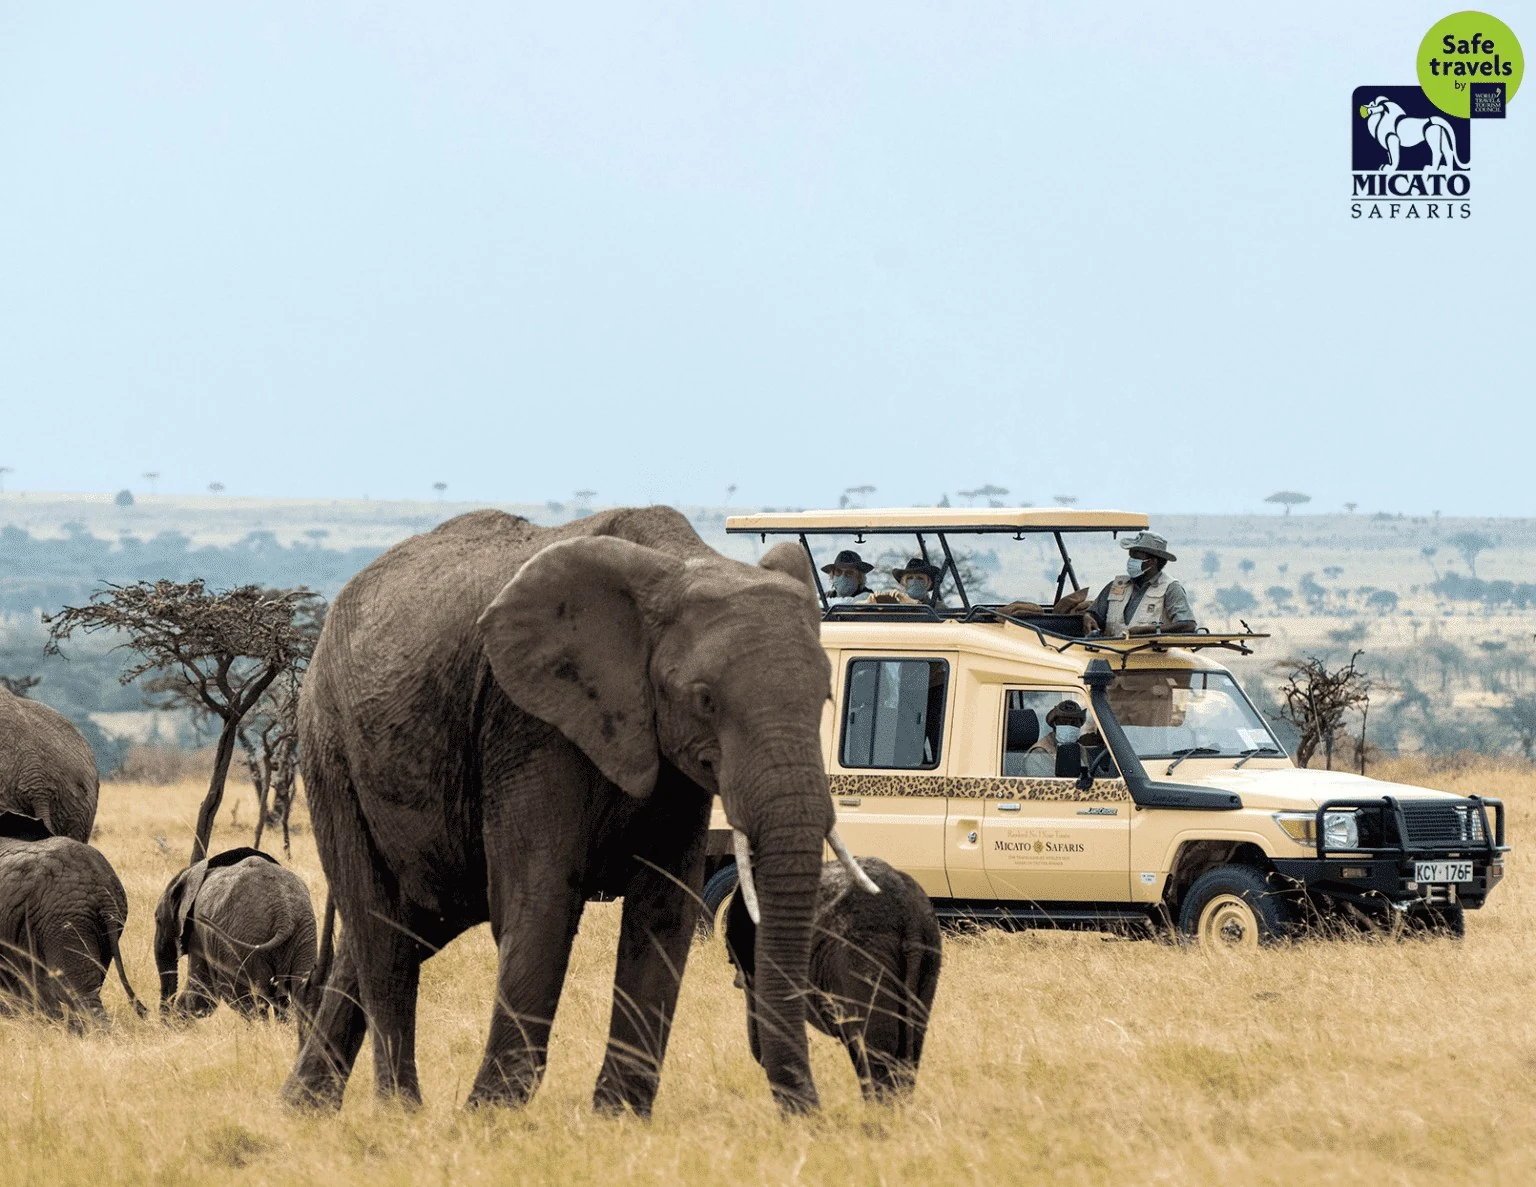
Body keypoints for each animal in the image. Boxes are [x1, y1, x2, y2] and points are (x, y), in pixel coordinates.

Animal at [154, 847, 317, 1020]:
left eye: (157, 920)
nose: (164, 1019)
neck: (190, 873)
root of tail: (284, 914)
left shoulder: (197, 932)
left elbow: (201, 992)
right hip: (304, 932)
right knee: (298, 992)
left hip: (245, 938)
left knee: (246, 996)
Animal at [283, 506, 872, 1115]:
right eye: (705, 699)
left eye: (826, 698)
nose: (808, 1112)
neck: (678, 564)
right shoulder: (530, 722)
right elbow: (542, 896)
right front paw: (491, 1114)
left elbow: (664, 906)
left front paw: (618, 1117)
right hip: (330, 750)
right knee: (383, 936)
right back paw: (401, 1113)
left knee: (398, 928)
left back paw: (304, 1109)